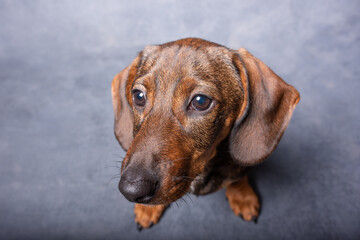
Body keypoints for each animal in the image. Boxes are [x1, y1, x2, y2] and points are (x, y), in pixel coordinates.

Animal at [112, 37, 300, 229]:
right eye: (138, 96)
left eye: (200, 101)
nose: (131, 189)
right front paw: (148, 209)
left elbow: (237, 177)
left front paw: (242, 196)